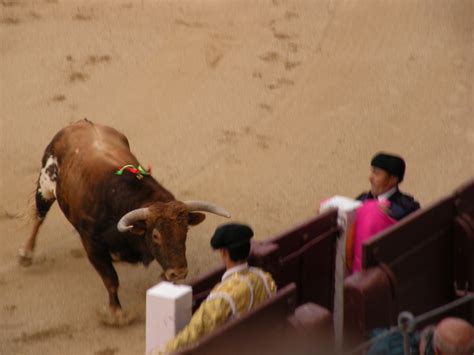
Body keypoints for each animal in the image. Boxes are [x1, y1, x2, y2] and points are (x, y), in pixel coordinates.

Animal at [19, 119, 231, 326]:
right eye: (155, 235)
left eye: (185, 231)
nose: (178, 273)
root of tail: (78, 123)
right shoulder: (91, 244)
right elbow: (111, 280)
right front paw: (117, 314)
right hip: (45, 186)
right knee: (39, 217)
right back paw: (26, 254)